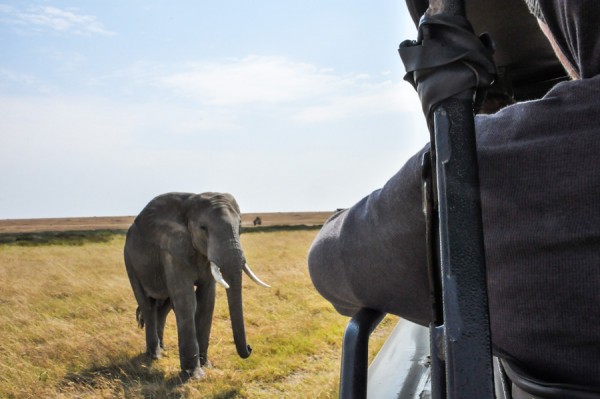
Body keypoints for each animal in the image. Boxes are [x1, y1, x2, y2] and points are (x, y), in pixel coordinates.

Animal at [124, 192, 270, 380]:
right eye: (203, 228)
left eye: (240, 226)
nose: (250, 348)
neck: (190, 203)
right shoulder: (173, 249)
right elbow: (186, 302)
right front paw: (194, 375)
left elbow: (207, 301)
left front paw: (205, 365)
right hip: (130, 261)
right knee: (147, 306)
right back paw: (154, 356)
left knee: (164, 307)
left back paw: (163, 350)